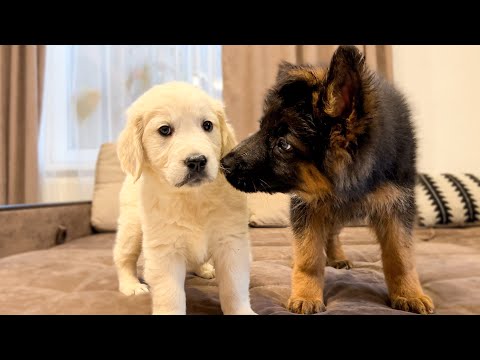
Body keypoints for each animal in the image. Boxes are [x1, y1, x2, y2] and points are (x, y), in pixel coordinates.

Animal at [113, 81, 255, 316]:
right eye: (164, 130)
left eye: (207, 125)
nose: (197, 161)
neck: (193, 198)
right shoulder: (165, 251)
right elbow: (170, 295)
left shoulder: (231, 242)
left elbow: (234, 287)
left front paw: (241, 311)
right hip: (131, 227)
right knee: (124, 257)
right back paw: (131, 285)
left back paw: (205, 269)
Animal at [221, 45, 436, 316]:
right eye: (262, 128)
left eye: (283, 145)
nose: (223, 164)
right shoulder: (308, 207)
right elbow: (309, 257)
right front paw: (306, 294)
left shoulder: (396, 205)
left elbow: (400, 255)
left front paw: (408, 293)